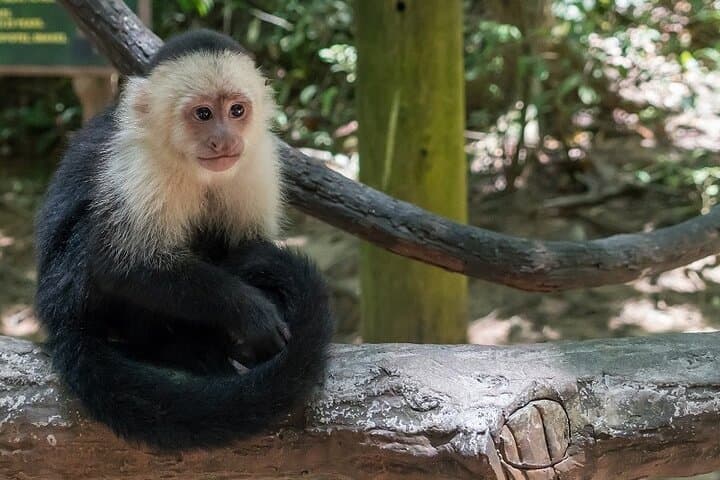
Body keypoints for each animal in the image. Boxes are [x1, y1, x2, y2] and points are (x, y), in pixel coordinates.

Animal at [34, 29, 333, 449]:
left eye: (236, 111)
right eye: (203, 114)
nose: (224, 140)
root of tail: (58, 320)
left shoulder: (257, 159)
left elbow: (247, 247)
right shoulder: (141, 166)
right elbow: (124, 265)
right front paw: (252, 312)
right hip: (69, 296)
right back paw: (170, 348)